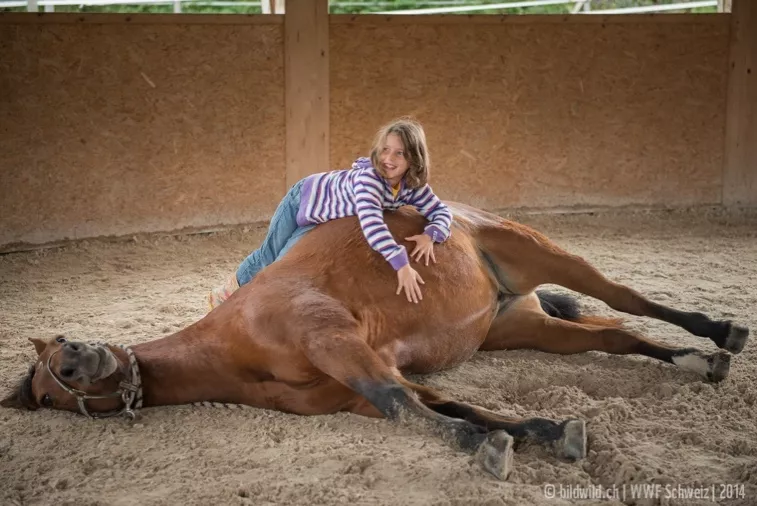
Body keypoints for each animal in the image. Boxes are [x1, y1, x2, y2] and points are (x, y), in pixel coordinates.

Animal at [1, 202, 749, 480]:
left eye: (58, 351)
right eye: (48, 387)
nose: (79, 354)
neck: (234, 342)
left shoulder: (339, 344)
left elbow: (405, 406)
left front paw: (483, 446)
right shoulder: (350, 391)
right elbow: (440, 406)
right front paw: (542, 432)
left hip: (546, 256)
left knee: (627, 301)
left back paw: (721, 333)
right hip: (522, 327)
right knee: (616, 335)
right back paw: (697, 362)